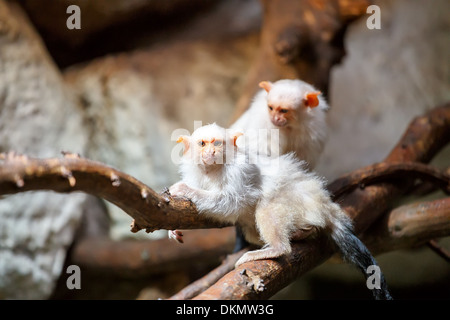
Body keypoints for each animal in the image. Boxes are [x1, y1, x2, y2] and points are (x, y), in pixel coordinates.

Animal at [169, 123, 390, 300]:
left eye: (217, 143)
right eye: (202, 144)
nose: (211, 153)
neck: (212, 171)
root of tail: (324, 206)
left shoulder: (239, 171)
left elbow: (231, 202)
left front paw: (184, 190)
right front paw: (174, 227)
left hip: (297, 202)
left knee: (267, 206)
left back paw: (276, 247)